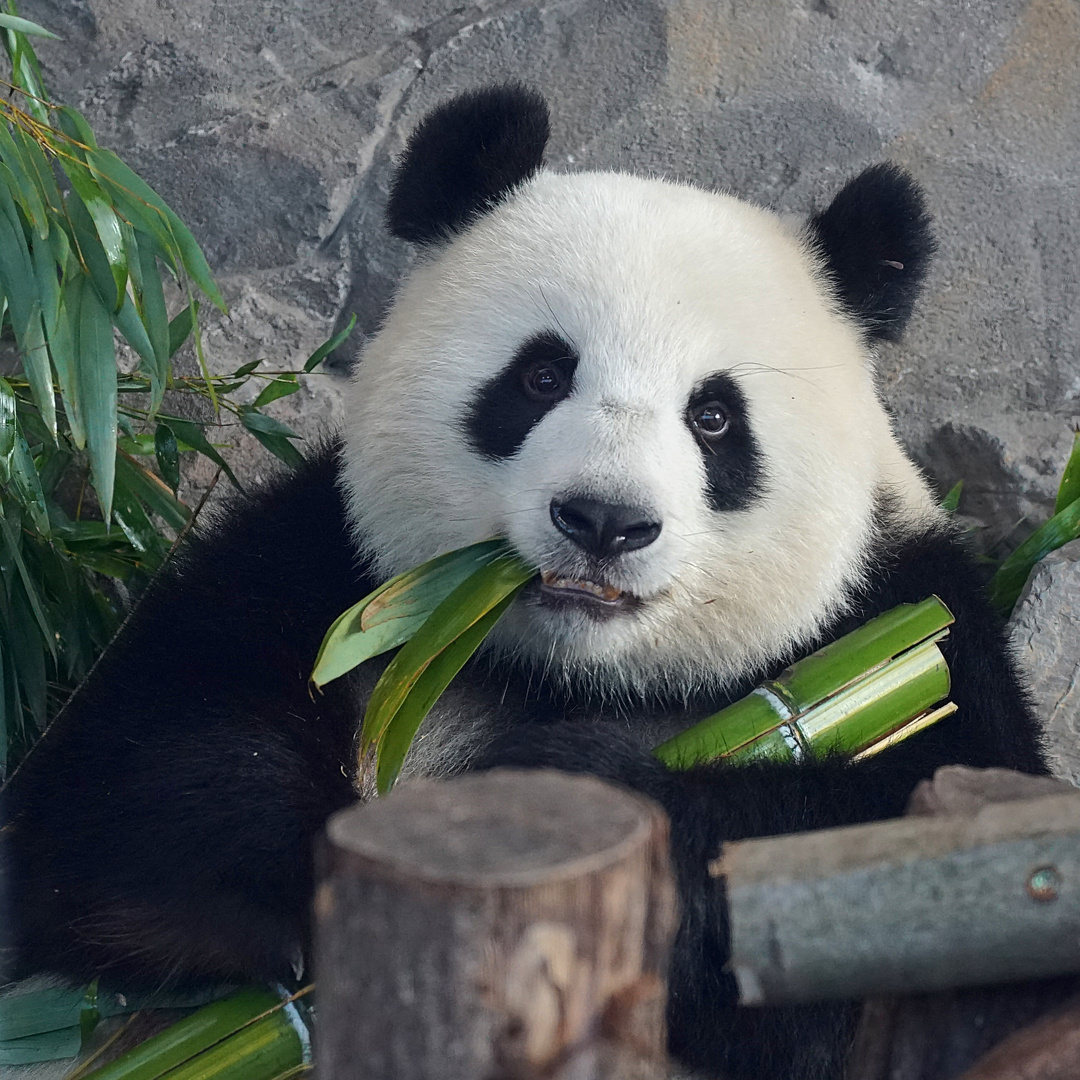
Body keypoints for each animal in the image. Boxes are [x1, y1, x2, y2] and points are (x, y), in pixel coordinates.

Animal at [0, 84, 1045, 1080]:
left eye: (714, 417)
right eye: (542, 375)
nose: (605, 522)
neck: (565, 672)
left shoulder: (909, 620)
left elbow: (875, 901)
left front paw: (568, 791)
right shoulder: (331, 568)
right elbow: (123, 783)